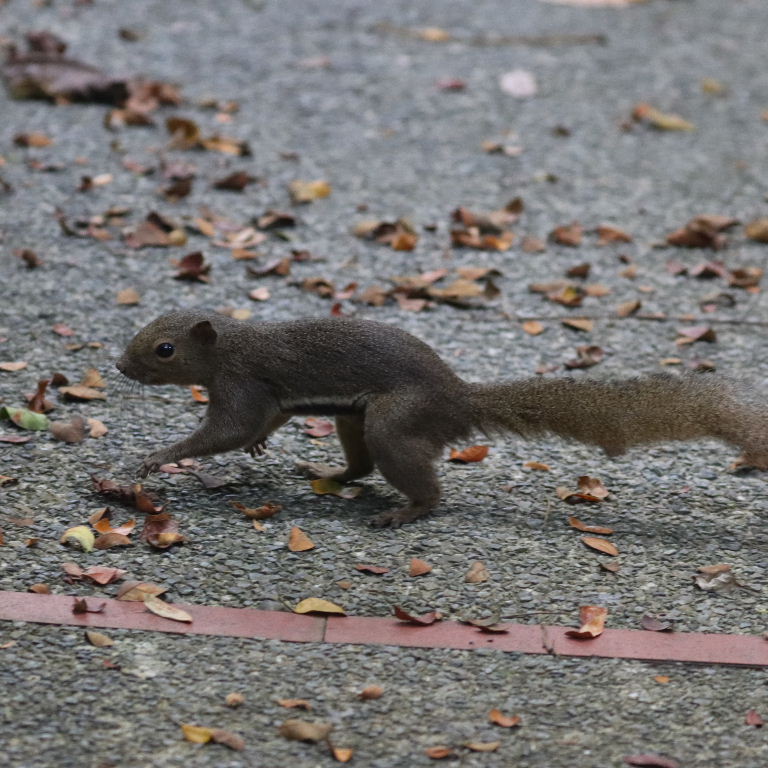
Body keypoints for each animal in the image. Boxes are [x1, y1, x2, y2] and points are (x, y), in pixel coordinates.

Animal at [116, 309, 768, 527]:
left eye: (164, 349)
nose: (119, 365)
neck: (232, 345)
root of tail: (458, 399)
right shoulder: (268, 398)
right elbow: (258, 428)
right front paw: (259, 449)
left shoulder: (243, 384)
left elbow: (229, 431)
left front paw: (155, 458)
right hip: (356, 420)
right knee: (359, 466)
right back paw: (329, 474)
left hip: (392, 421)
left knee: (426, 489)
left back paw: (404, 512)